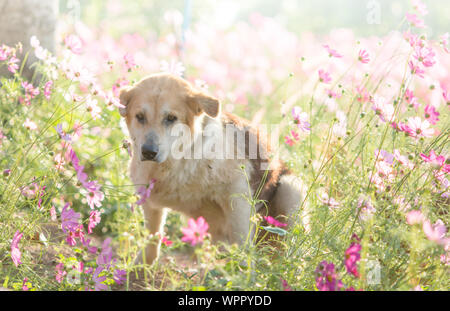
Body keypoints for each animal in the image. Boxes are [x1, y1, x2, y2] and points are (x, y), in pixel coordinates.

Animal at [119, 73, 304, 266]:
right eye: (140, 116)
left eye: (171, 118)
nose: (148, 151)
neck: (179, 160)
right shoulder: (150, 200)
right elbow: (152, 239)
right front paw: (139, 267)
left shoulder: (237, 196)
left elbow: (242, 243)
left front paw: (244, 272)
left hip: (291, 188)